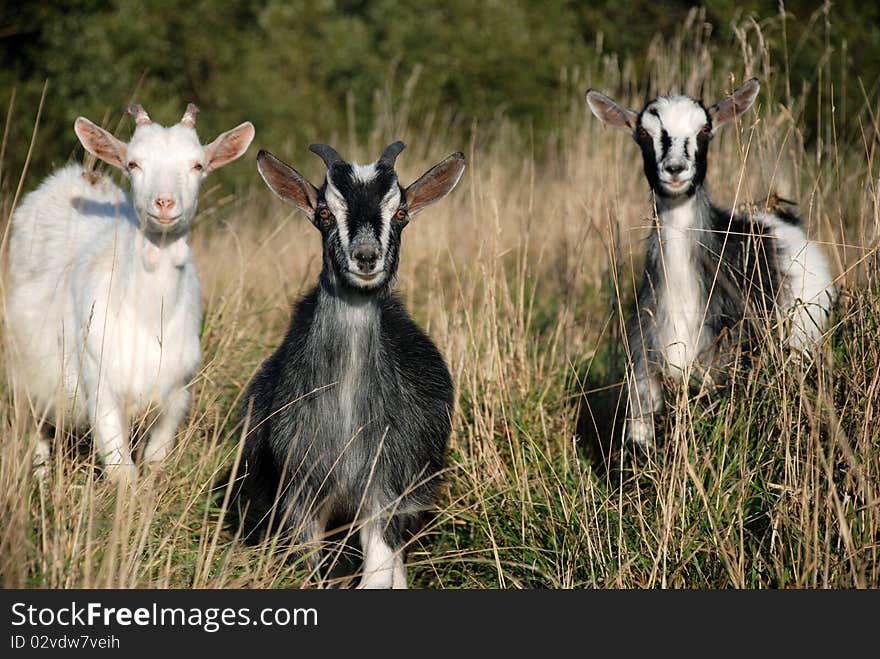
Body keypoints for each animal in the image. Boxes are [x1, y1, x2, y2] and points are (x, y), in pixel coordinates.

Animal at [6, 104, 254, 484]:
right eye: (134, 164)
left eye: (198, 165)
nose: (164, 203)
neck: (148, 316)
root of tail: (81, 177)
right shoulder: (100, 389)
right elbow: (122, 472)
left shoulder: (176, 393)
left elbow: (156, 459)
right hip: (26, 368)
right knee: (36, 426)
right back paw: (41, 477)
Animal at [232, 142, 468, 592]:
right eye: (324, 213)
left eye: (401, 213)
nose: (366, 257)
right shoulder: (300, 490)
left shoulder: (388, 487)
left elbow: (377, 575)